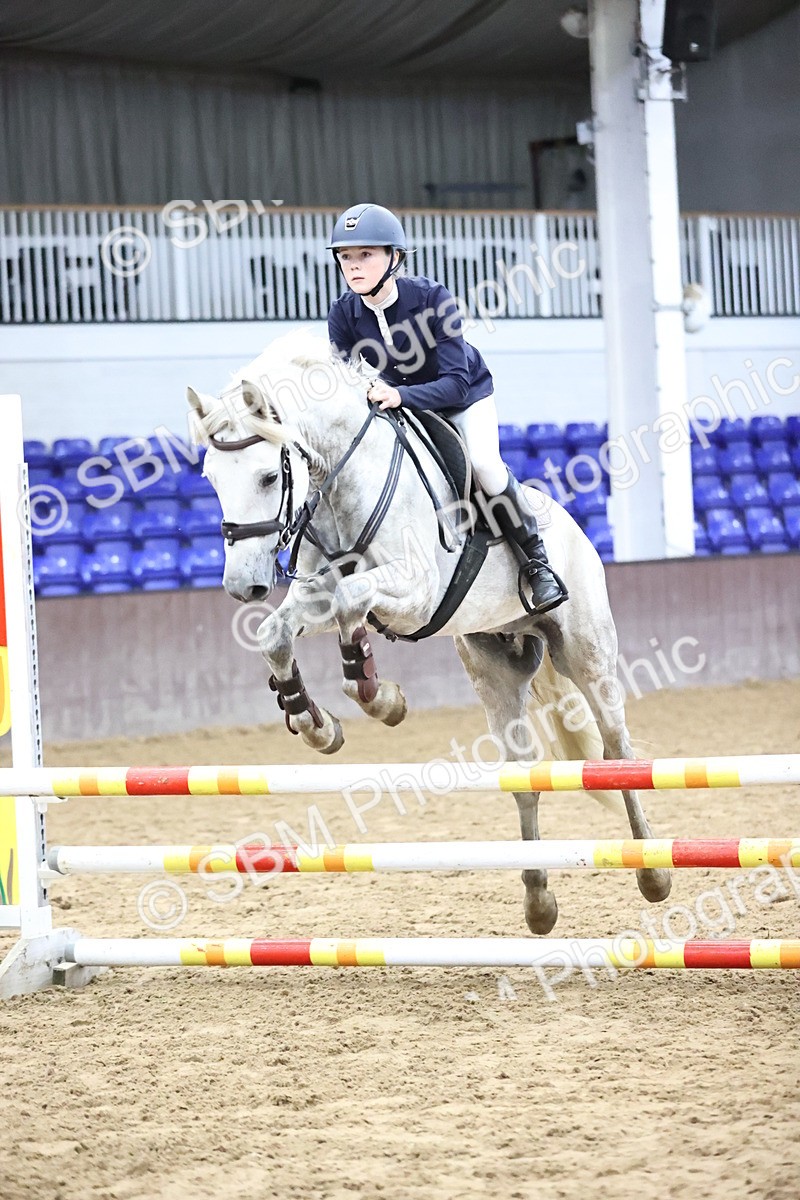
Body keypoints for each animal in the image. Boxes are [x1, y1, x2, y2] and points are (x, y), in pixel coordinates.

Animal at [186, 330, 672, 934]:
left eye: (269, 476)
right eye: (210, 478)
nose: (243, 586)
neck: (344, 479)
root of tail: (574, 527)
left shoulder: (416, 594)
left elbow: (352, 603)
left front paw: (376, 693)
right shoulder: (316, 594)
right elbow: (279, 633)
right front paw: (317, 721)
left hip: (587, 655)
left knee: (616, 750)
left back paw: (653, 873)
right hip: (495, 672)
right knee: (522, 779)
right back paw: (538, 902)